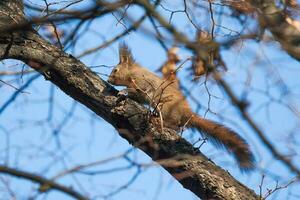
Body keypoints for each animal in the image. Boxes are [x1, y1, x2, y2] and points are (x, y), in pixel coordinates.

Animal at [106, 43, 254, 170]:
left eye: (115, 70)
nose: (108, 80)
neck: (133, 72)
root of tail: (187, 114)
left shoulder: (142, 82)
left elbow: (138, 90)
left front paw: (124, 91)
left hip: (166, 107)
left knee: (175, 125)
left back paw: (158, 120)